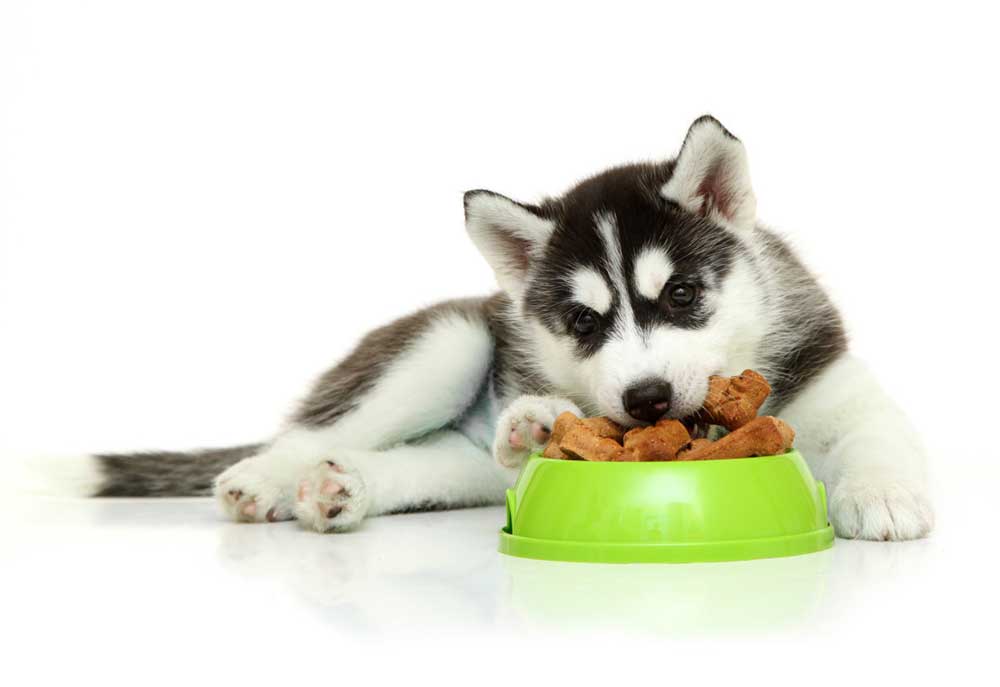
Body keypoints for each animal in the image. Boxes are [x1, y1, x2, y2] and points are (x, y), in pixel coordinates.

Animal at [82, 115, 932, 540]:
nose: (648, 399)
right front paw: (537, 422)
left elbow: (881, 435)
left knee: (415, 466)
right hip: (448, 342)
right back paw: (262, 480)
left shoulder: (838, 381)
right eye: (582, 320)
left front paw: (884, 496)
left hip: (464, 468)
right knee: (308, 432)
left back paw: (340, 489)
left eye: (684, 292)